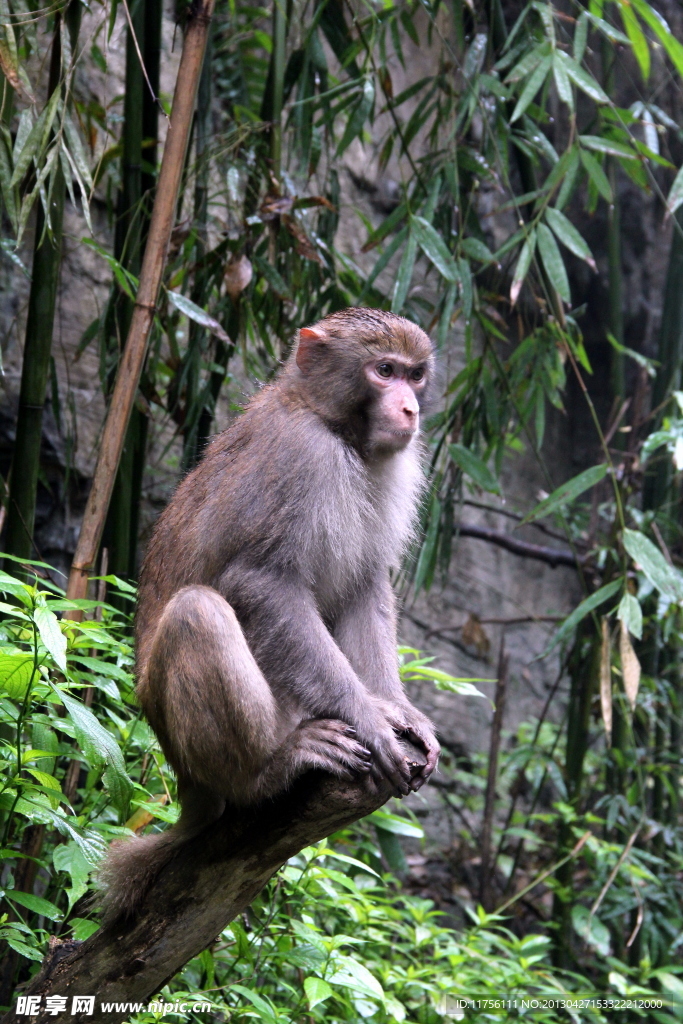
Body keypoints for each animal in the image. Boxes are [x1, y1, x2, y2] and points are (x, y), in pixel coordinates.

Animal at [104, 307, 440, 917]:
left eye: (415, 374)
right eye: (384, 371)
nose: (411, 409)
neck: (332, 424)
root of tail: (187, 790)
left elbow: (363, 587)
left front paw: (397, 709)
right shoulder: (300, 457)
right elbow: (263, 582)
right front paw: (368, 715)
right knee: (198, 613)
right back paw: (270, 769)